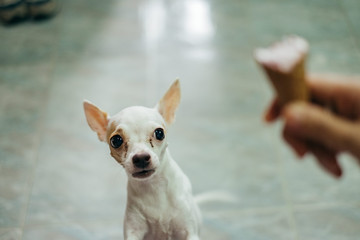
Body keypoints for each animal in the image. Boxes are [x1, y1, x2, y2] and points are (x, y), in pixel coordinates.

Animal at [85, 79, 202, 239]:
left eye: (159, 133)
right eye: (116, 140)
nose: (140, 158)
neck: (153, 188)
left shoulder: (188, 232)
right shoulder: (133, 230)